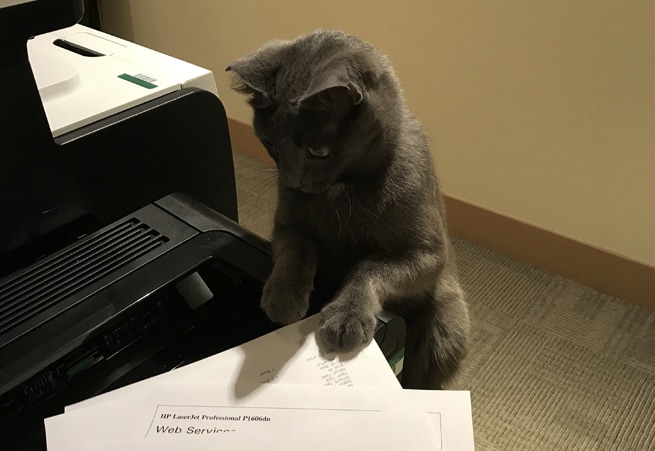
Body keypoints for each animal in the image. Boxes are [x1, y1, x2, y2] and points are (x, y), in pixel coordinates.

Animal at [228, 29, 468, 388]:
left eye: (319, 151)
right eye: (270, 143)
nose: (292, 181)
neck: (342, 192)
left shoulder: (428, 253)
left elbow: (371, 265)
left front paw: (346, 318)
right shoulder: (285, 223)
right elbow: (297, 248)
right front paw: (283, 297)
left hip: (447, 327)